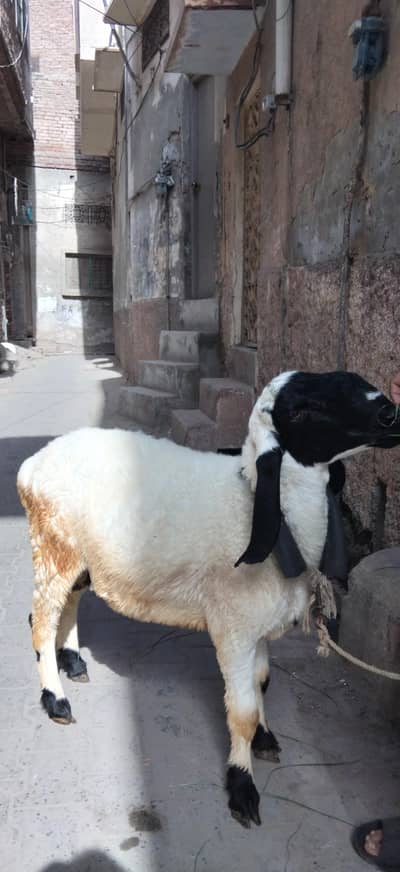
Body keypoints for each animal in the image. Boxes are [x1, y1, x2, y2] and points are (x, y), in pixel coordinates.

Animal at [17, 369, 400, 828]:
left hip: (79, 555)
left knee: (68, 604)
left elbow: (261, 683)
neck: (261, 503)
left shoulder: (257, 625)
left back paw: (73, 662)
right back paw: (56, 699)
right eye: (303, 409)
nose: (390, 414)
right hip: (52, 545)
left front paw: (265, 738)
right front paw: (242, 787)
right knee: (40, 623)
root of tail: (33, 464)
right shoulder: (234, 626)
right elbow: (242, 711)